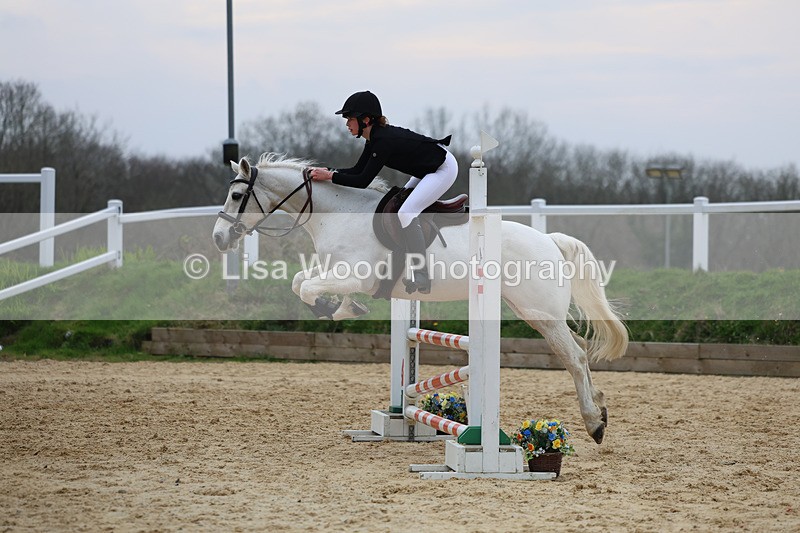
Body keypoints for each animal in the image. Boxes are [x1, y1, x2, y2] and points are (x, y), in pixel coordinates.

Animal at [213, 153, 629, 444]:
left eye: (237, 195)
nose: (218, 238)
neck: (337, 215)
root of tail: (550, 240)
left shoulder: (357, 275)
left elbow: (308, 289)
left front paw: (336, 307)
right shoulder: (334, 271)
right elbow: (301, 282)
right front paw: (340, 308)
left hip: (539, 312)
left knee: (574, 358)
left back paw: (593, 423)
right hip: (535, 312)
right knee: (579, 350)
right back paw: (601, 406)